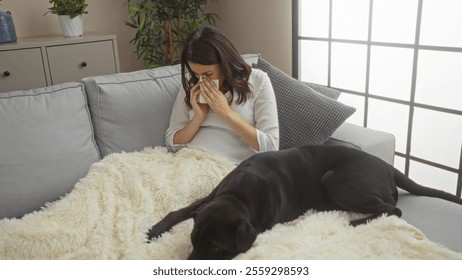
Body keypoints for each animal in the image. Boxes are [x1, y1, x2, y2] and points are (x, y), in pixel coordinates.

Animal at [147, 145, 462, 260]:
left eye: (214, 248)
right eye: (192, 240)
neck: (239, 194)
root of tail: (388, 166)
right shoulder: (212, 196)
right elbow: (181, 210)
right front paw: (154, 230)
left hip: (336, 180)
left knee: (393, 209)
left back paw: (355, 222)